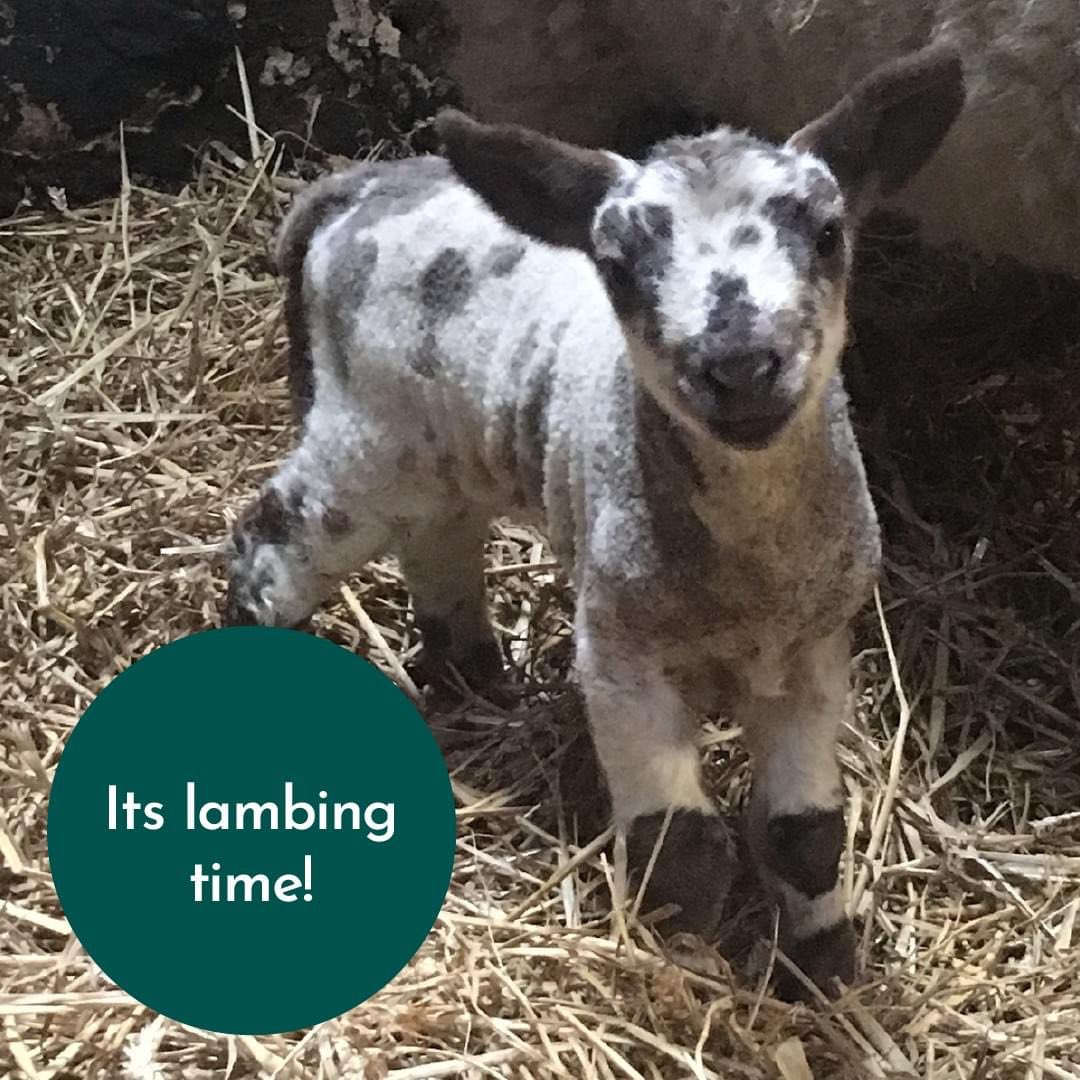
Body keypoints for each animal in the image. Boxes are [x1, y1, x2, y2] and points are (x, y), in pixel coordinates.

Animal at [223, 43, 964, 997]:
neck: (749, 572)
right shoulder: (619, 656)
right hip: (364, 438)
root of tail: (354, 188)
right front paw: (686, 972)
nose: (739, 366)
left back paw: (468, 674)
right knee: (269, 548)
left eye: (830, 234)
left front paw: (825, 967)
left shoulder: (814, 655)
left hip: (443, 446)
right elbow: (684, 850)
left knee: (439, 539)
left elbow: (805, 837)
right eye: (615, 265)